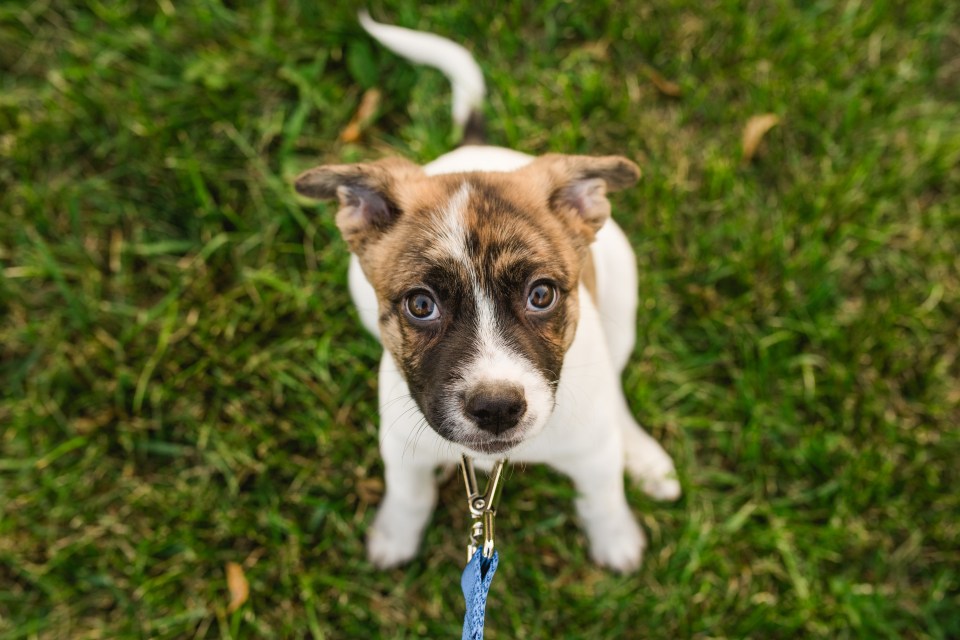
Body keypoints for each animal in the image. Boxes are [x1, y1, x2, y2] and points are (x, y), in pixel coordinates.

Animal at [296, 12, 680, 572]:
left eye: (541, 295)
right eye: (421, 304)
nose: (497, 409)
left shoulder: (592, 453)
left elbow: (603, 495)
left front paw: (616, 541)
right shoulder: (400, 440)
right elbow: (407, 490)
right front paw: (395, 535)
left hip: (623, 288)